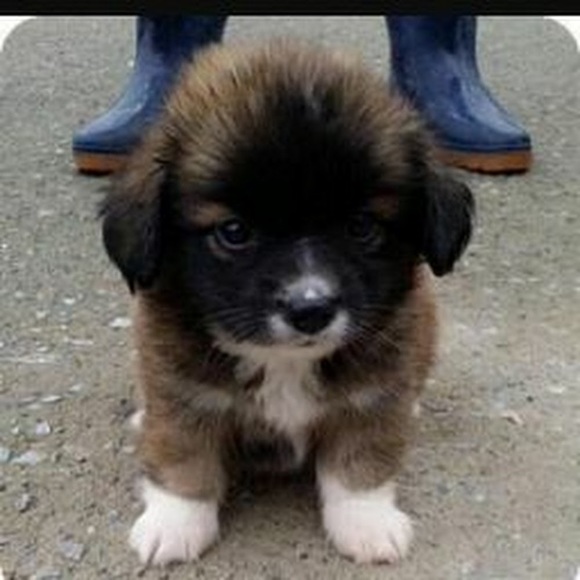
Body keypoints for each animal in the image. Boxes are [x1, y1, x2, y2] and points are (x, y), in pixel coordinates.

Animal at [100, 38, 474, 566]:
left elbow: (361, 457)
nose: (310, 310)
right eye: (234, 232)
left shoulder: (374, 391)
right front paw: (173, 523)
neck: (281, 362)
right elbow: (182, 454)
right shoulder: (182, 391)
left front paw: (367, 523)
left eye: (362, 227)